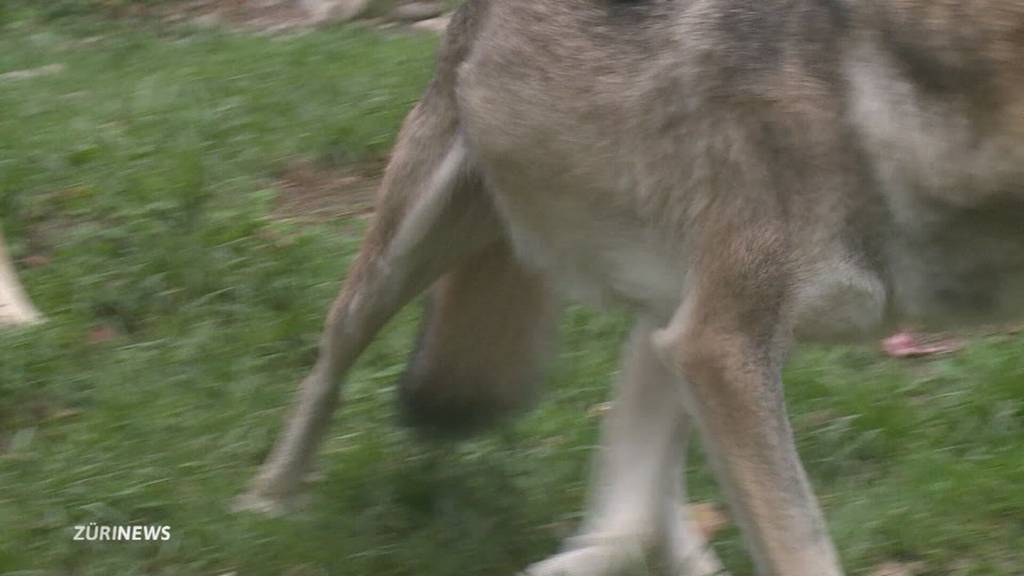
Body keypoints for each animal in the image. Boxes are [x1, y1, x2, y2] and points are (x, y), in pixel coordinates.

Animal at [235, 2, 1024, 569]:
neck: (886, 97)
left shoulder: (711, 348)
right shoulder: (721, 343)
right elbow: (803, 545)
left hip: (664, 324)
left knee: (631, 520)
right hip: (403, 258)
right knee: (326, 366)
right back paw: (267, 500)